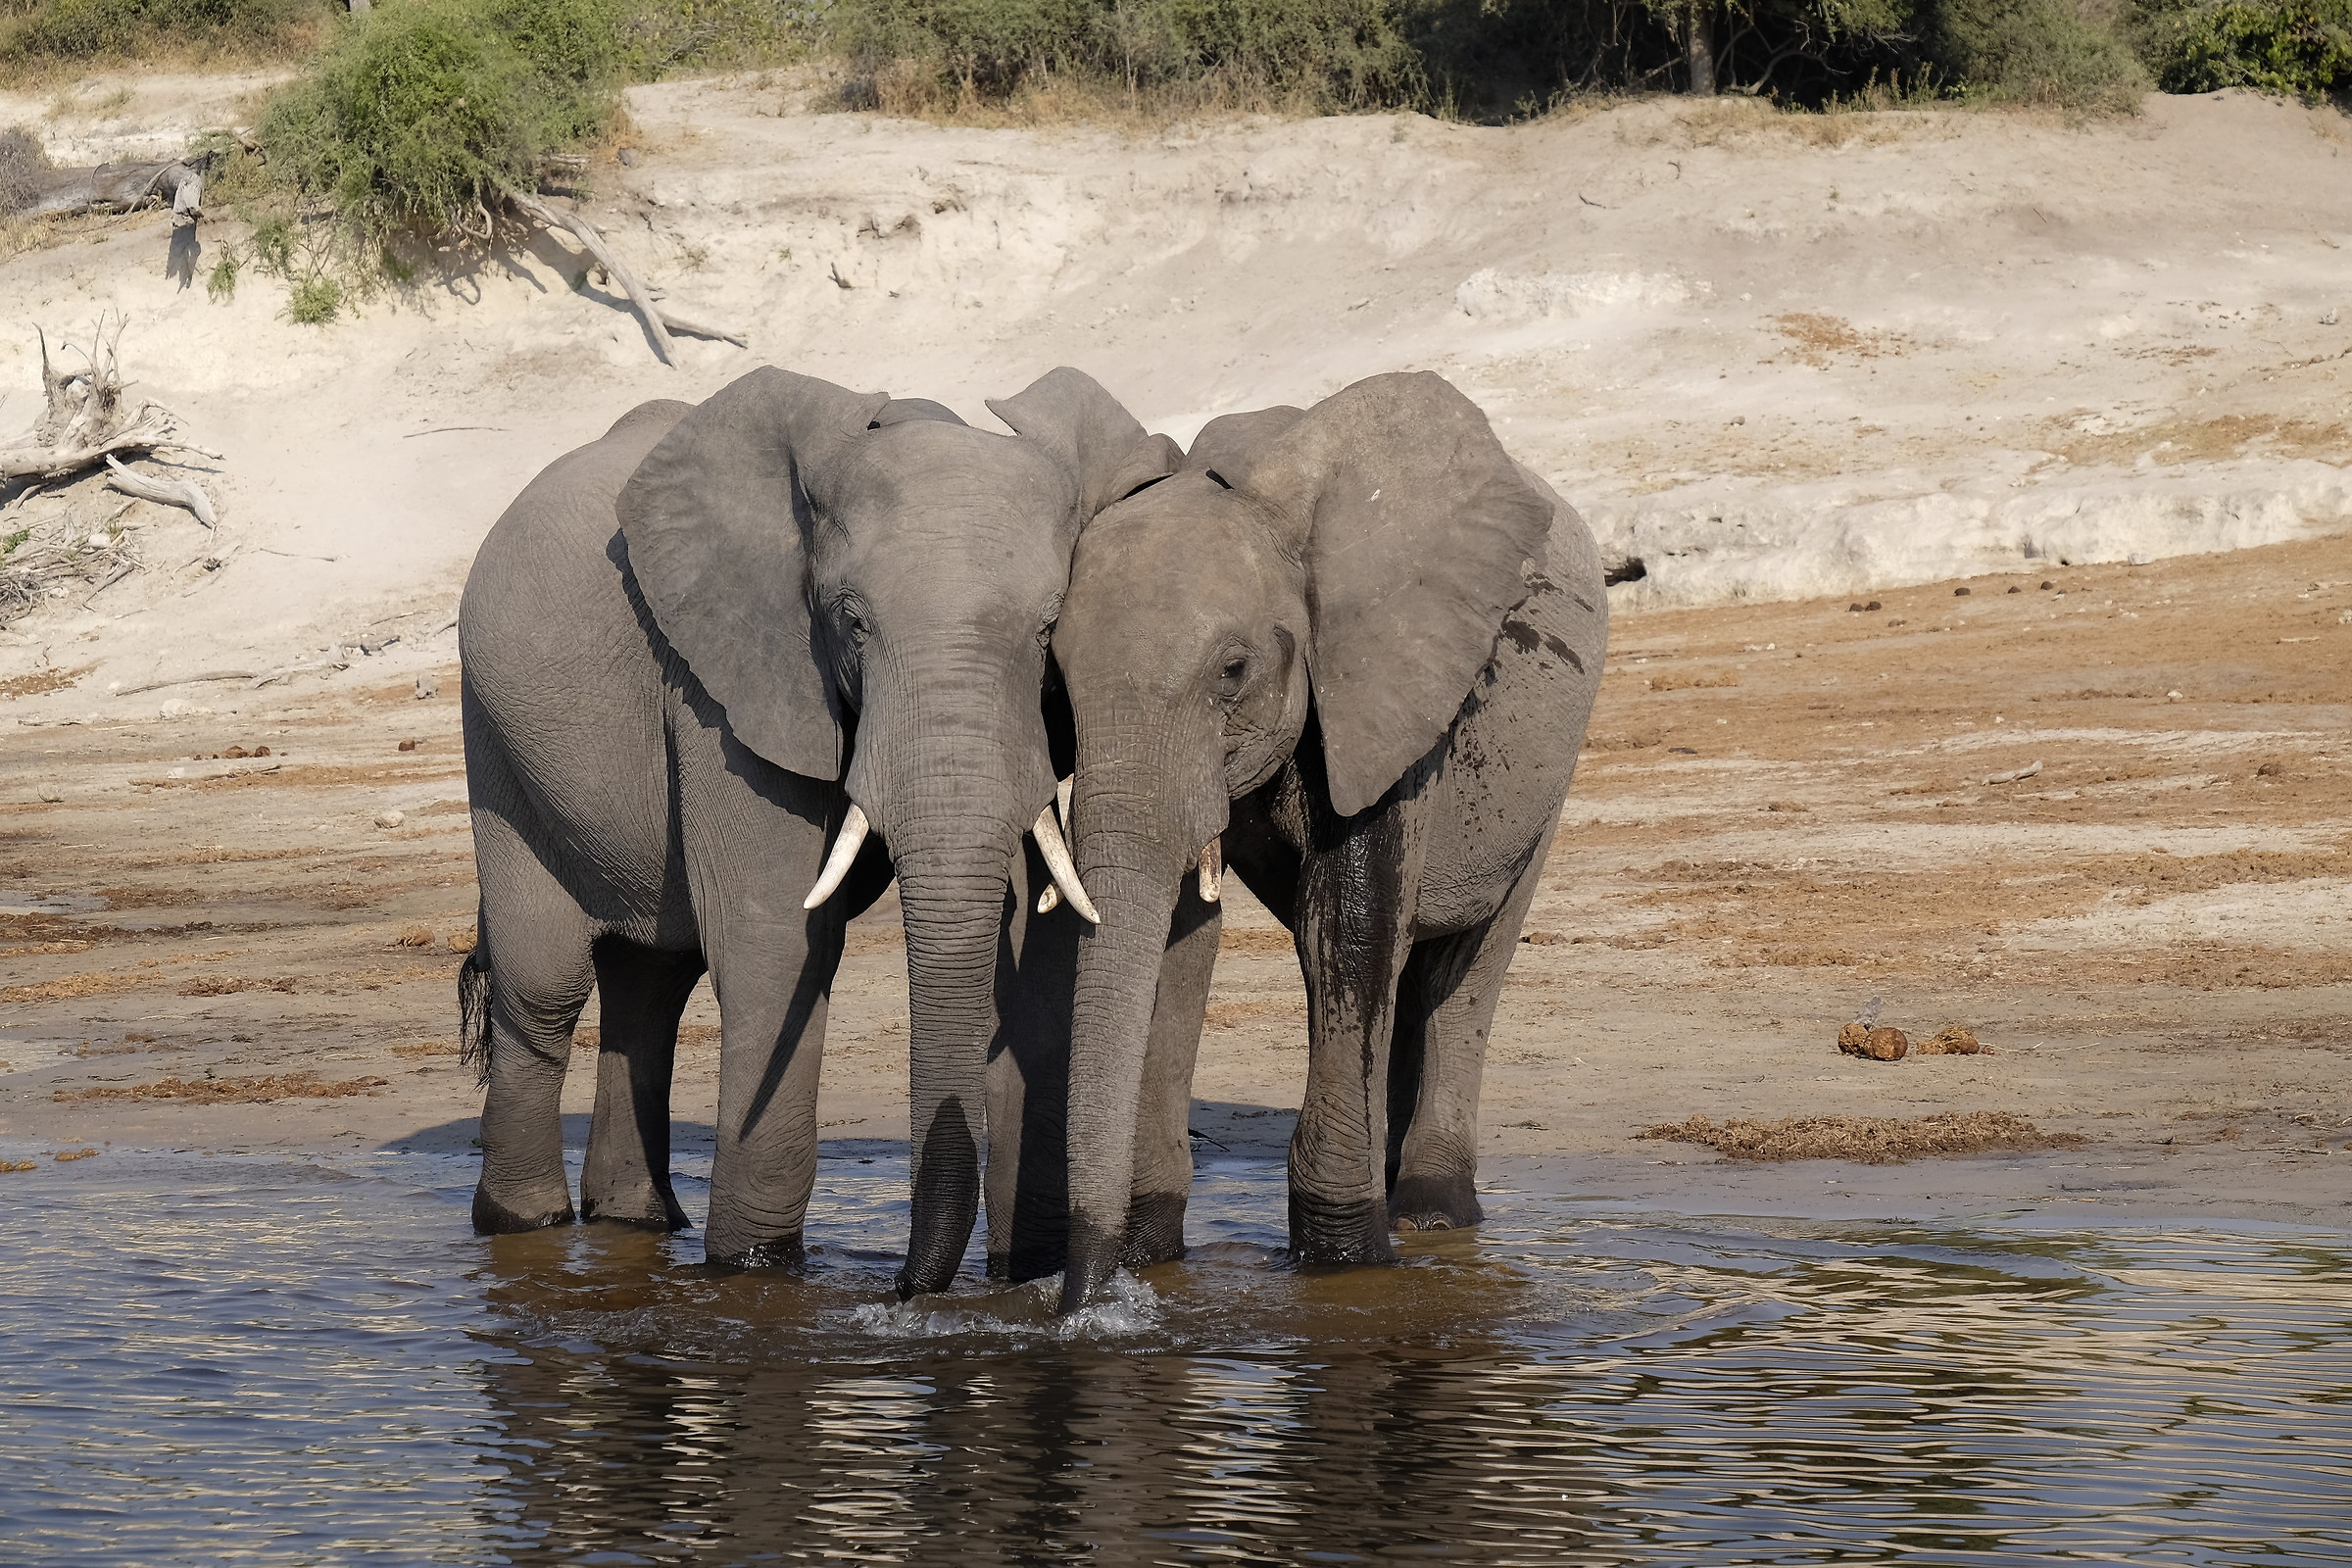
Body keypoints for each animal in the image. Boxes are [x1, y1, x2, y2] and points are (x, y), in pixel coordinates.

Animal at [456, 364, 1178, 1297]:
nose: (903, 1288)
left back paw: (633, 1221)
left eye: (1050, 628)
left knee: (651, 979)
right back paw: (524, 1226)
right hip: (496, 734)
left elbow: (1028, 940)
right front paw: (754, 1273)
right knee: (545, 984)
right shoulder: (734, 681)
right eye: (852, 620)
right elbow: (776, 940)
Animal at [1047, 370, 1608, 1313]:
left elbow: (1346, 921)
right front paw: (1150, 1255)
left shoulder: (1385, 694)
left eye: (1232, 670)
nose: (1080, 1302)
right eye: (1056, 681)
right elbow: (1181, 938)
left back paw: (1430, 1214)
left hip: (1548, 772)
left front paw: (1347, 1266)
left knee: (1465, 967)